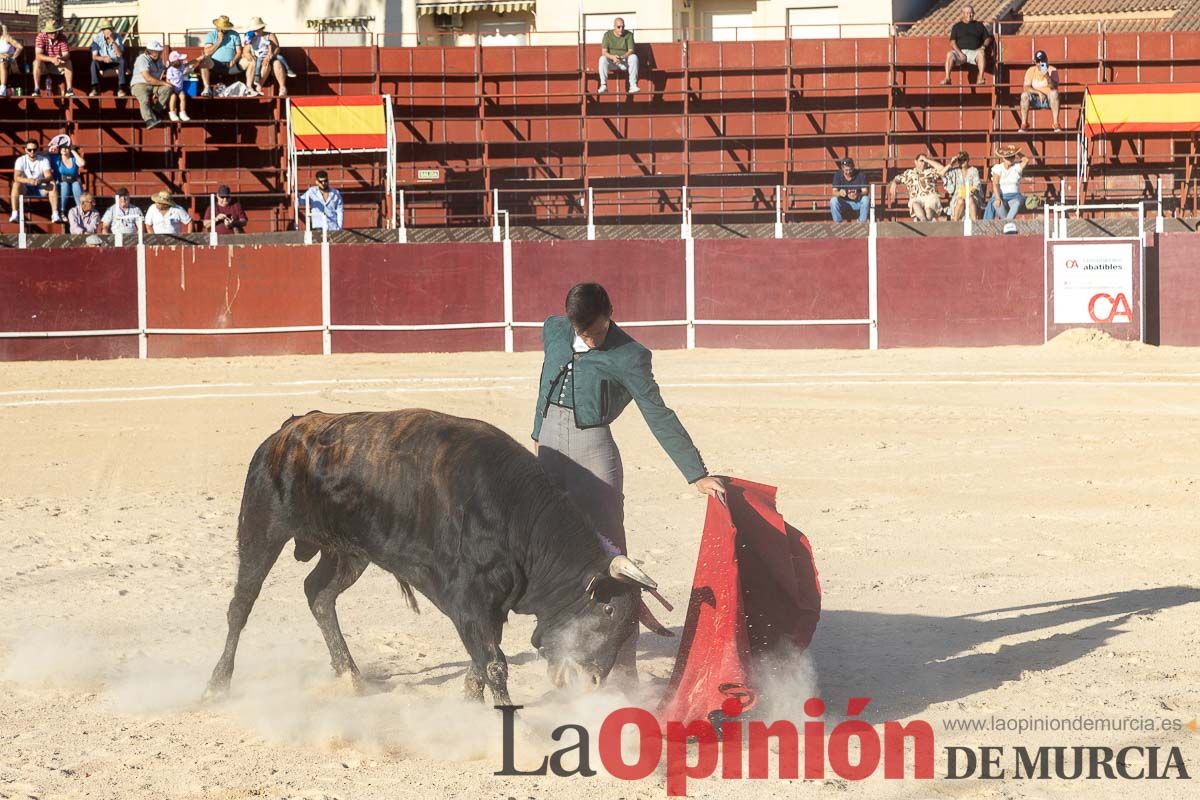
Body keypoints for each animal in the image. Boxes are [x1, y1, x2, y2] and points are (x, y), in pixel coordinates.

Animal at [202, 410, 662, 705]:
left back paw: (351, 678)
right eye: (607, 611)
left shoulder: (491, 607)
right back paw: (216, 685)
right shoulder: (469, 602)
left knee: (318, 593)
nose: (594, 681)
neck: (517, 517)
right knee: (241, 605)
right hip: (261, 527)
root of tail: (289, 430)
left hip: (348, 551)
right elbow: (494, 663)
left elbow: (482, 660)